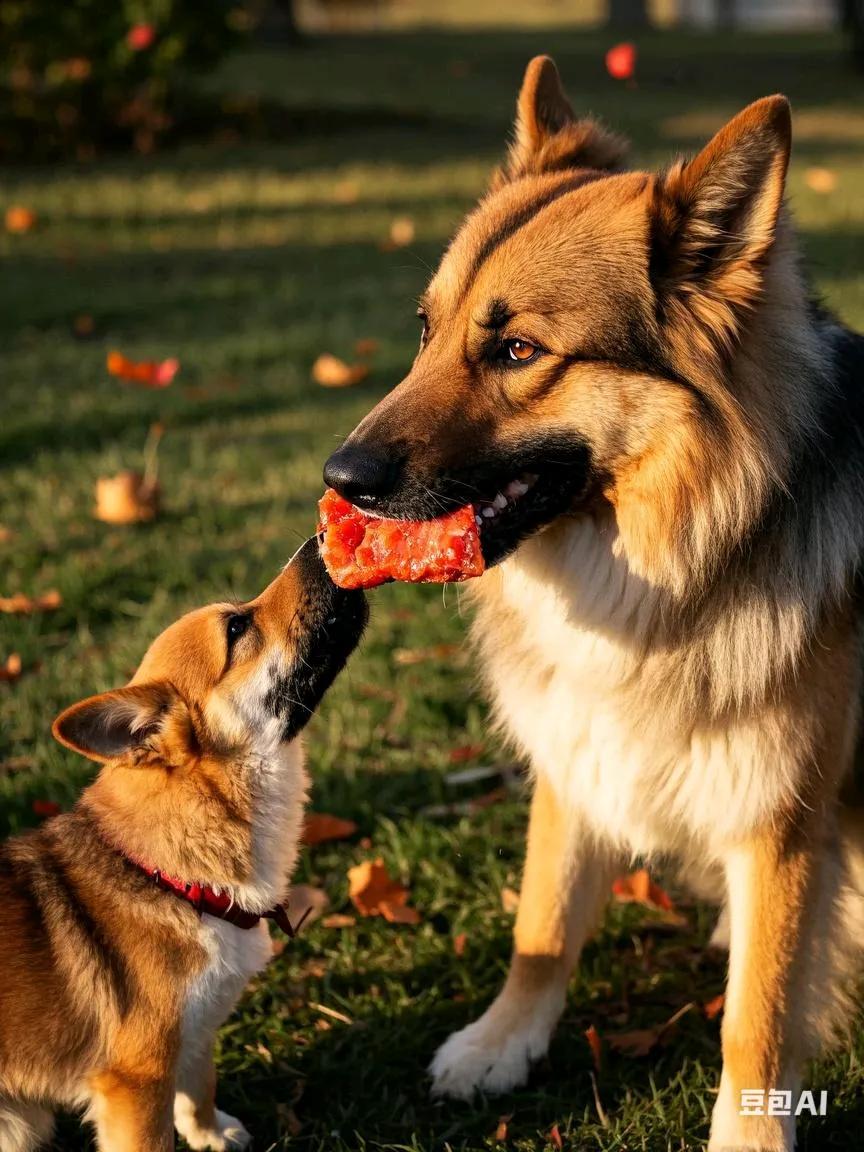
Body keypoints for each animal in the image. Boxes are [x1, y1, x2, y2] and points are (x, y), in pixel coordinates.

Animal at [0, 541, 366, 1152]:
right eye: (237, 627)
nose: (319, 537)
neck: (172, 874)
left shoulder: (193, 1034)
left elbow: (199, 1088)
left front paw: (210, 1134)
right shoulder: (137, 1080)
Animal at [324, 51, 864, 1142]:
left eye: (518, 352)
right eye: (425, 329)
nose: (339, 479)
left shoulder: (785, 818)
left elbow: (759, 1010)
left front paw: (749, 1133)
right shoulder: (575, 749)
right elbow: (543, 919)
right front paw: (501, 1042)